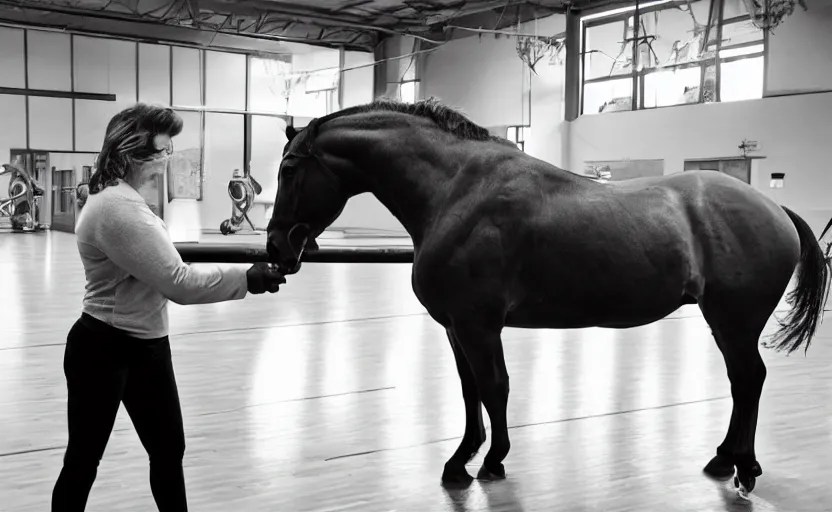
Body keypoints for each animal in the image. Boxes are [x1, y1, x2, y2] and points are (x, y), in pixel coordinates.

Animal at [265, 98, 829, 497]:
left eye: (289, 169)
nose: (276, 247)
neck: (456, 191)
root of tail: (774, 207)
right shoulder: (456, 327)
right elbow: (470, 391)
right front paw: (464, 460)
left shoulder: (477, 324)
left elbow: (494, 387)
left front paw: (489, 461)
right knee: (742, 383)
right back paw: (724, 459)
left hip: (734, 321)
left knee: (749, 380)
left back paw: (744, 468)